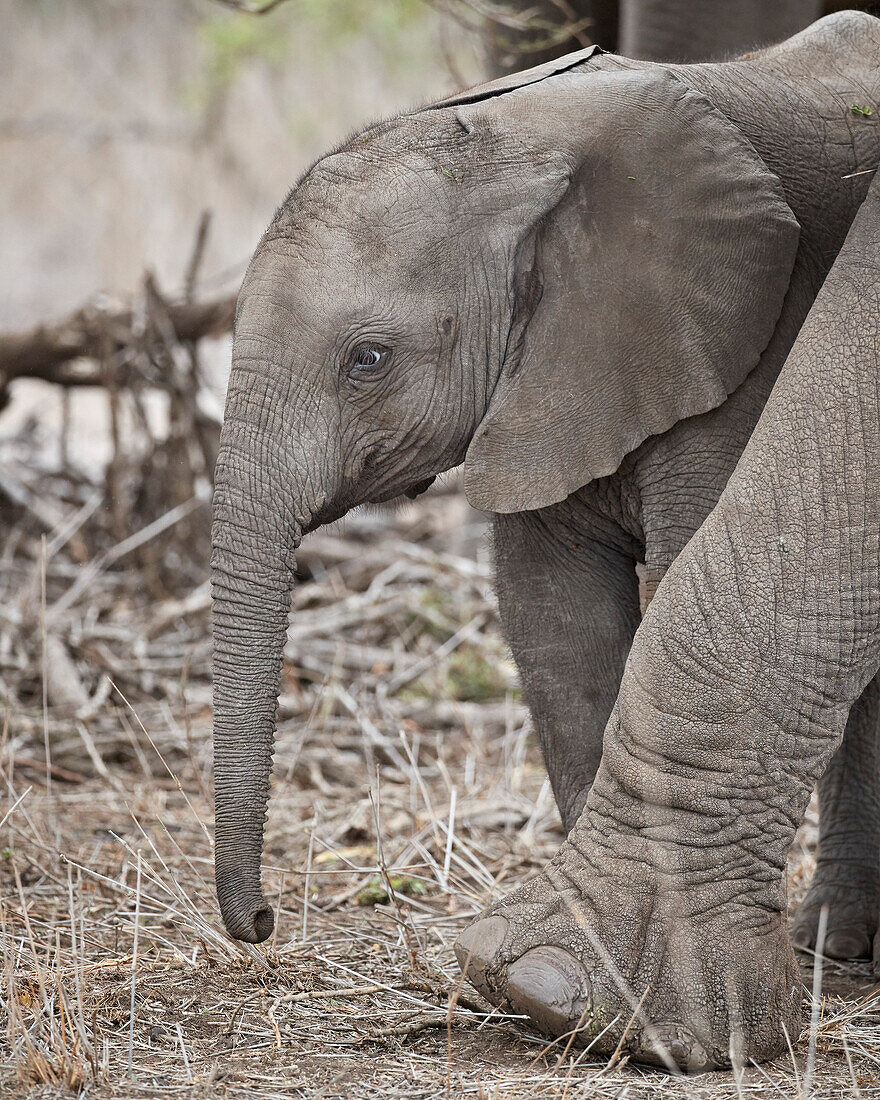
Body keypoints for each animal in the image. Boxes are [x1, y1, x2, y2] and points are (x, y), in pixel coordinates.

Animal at [211, 12, 880, 1064]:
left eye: (368, 360)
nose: (266, 923)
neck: (517, 153)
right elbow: (552, 623)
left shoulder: (735, 347)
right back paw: (831, 945)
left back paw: (832, 948)